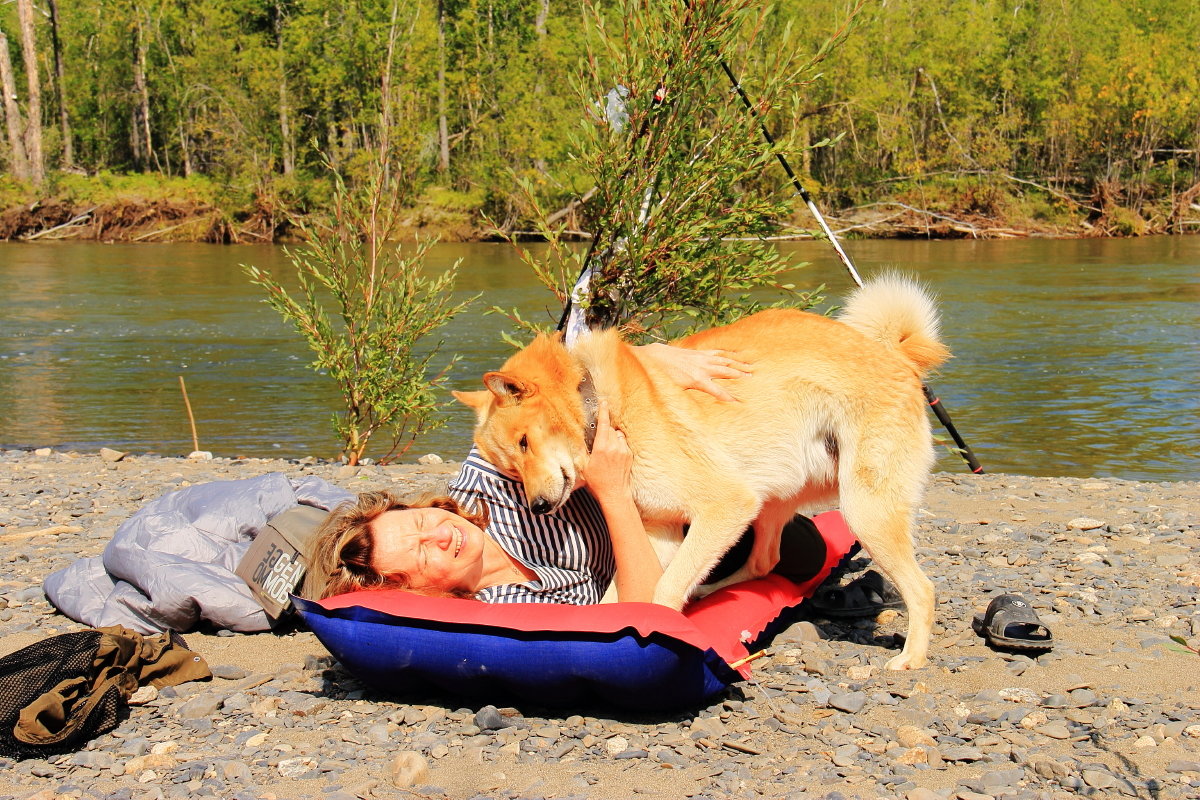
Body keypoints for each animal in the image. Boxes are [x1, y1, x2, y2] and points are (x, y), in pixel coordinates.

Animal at [453, 275, 950, 671]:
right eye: (512, 466)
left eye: (524, 442)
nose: (538, 505)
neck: (597, 403)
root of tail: (898, 356)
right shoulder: (662, 530)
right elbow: (626, 596)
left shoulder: (723, 505)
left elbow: (663, 591)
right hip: (772, 497)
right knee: (764, 561)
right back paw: (711, 591)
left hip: (862, 509)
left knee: (923, 590)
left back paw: (910, 658)